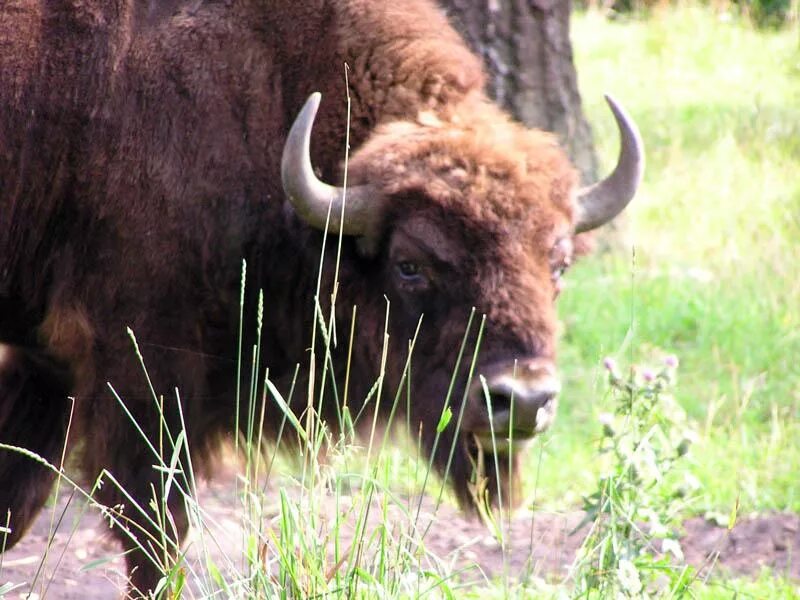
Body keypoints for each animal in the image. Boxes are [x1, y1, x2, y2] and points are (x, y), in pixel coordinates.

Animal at [0, 0, 640, 592]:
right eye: (410, 265)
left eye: (558, 264)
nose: (522, 401)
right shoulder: (141, 374)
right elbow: (151, 535)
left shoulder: (46, 365)